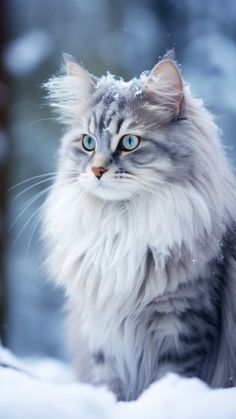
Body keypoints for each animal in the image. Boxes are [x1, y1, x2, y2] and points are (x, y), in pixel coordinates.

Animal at [42, 54, 236, 402]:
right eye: (88, 143)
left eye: (130, 142)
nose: (96, 170)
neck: (120, 228)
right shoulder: (102, 334)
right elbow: (110, 388)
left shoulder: (183, 327)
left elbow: (168, 381)